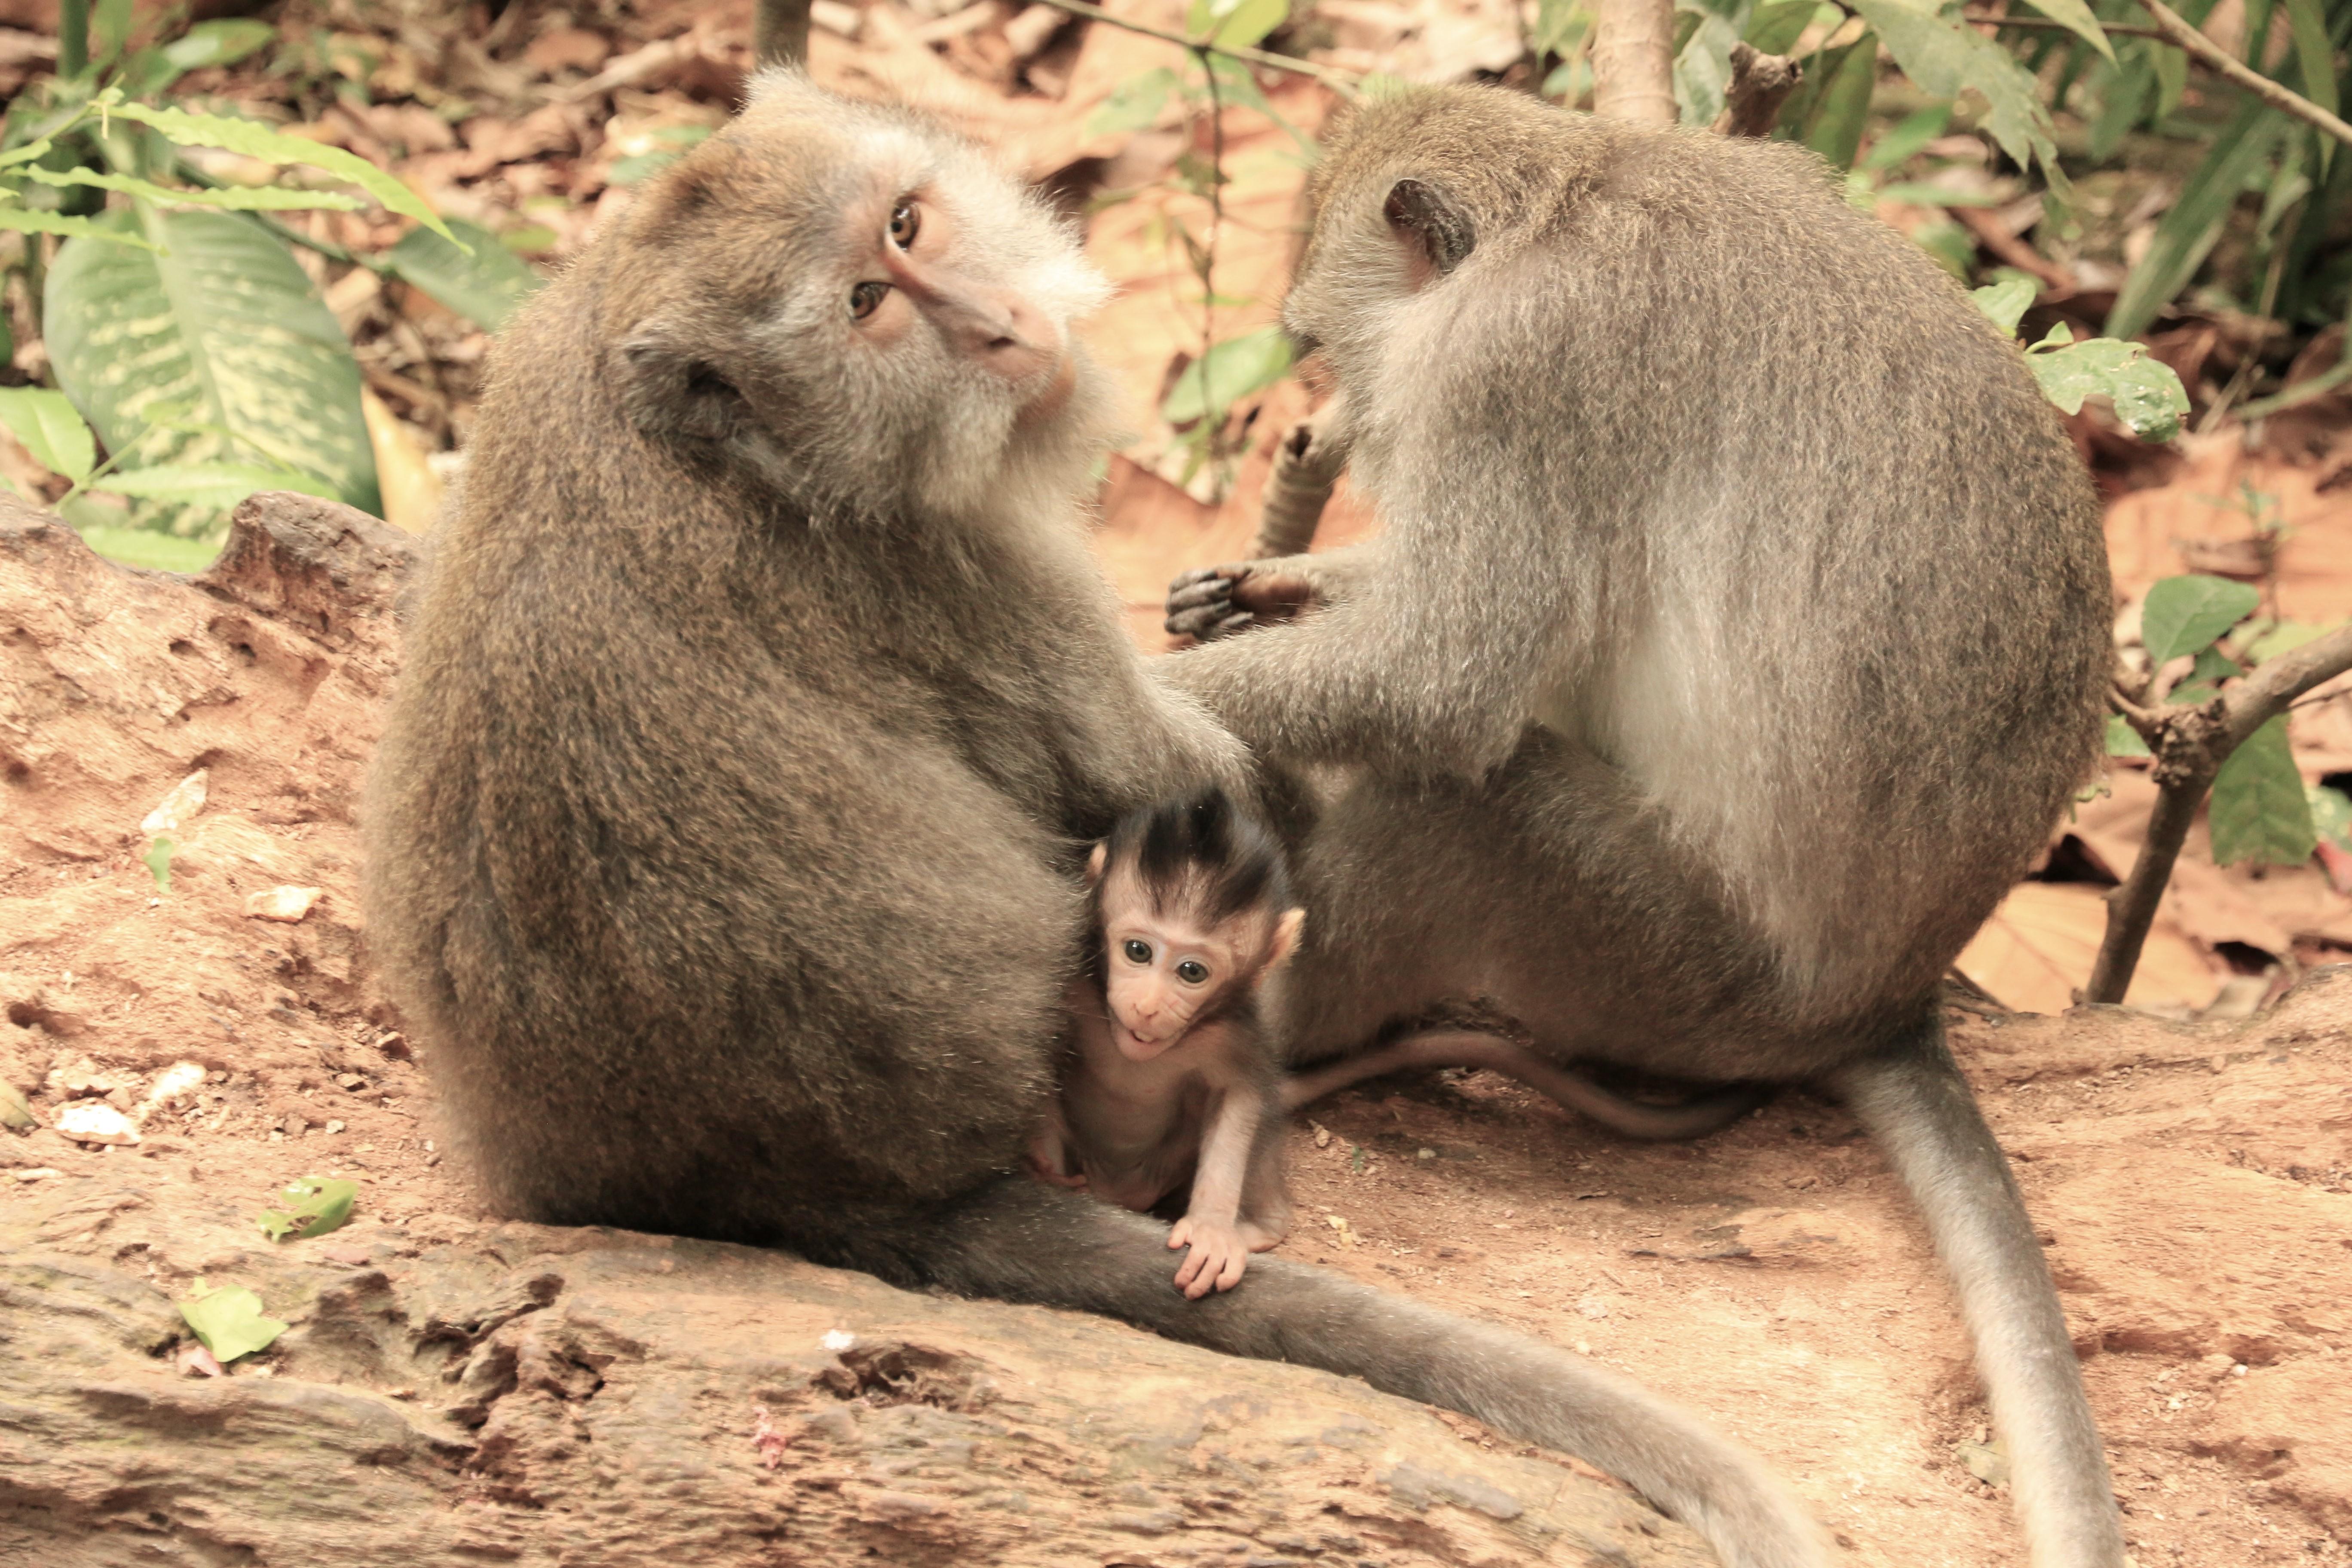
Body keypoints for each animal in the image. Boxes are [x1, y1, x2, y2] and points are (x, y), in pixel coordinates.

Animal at [1029, 786, 1300, 1298]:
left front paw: (1212, 1228)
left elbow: (1240, 1094)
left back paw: (1262, 1227)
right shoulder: (1072, 987)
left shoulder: (1226, 1036)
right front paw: (1043, 1172)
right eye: (1138, 951)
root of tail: (1119, 1194)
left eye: (1192, 972)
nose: (1149, 1006)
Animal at [1156, 86, 2121, 1568]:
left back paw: (1268, 1046)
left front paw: (1153, 689)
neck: (1564, 195)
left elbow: (1440, 681)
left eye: (1322, 343)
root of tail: (1884, 999)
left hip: (1664, 967)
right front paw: (1277, 584)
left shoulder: (1518, 376)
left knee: (1472, 800)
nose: (1339, 426)